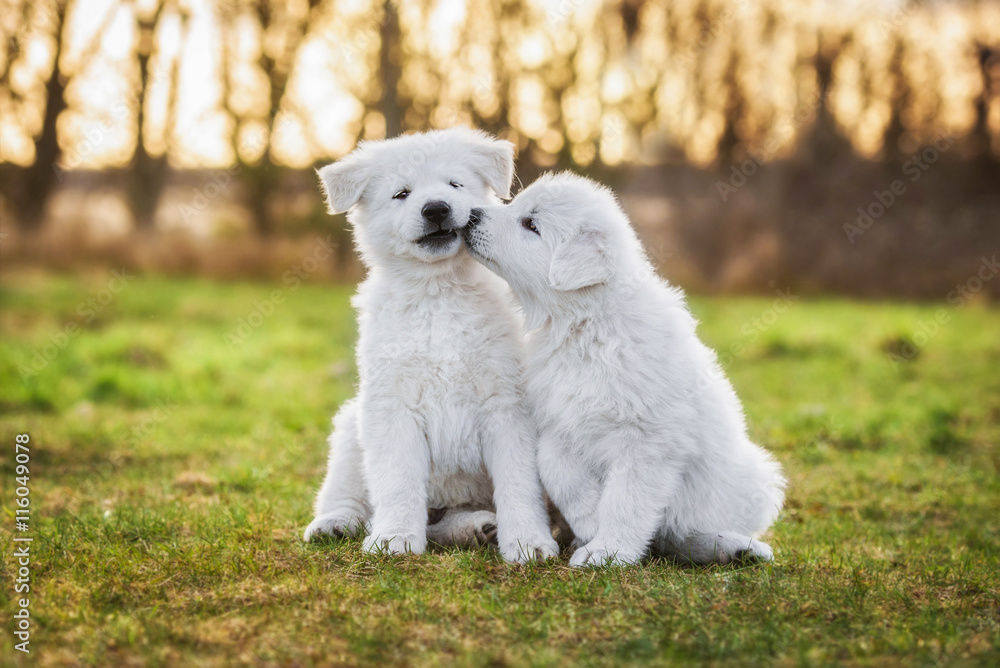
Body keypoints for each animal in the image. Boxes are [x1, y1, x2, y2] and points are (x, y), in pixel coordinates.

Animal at [300, 126, 560, 564]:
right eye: (401, 193)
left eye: (455, 184)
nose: (436, 209)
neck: (438, 292)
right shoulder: (393, 406)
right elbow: (398, 483)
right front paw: (394, 537)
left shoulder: (506, 406)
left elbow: (519, 484)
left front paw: (527, 541)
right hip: (351, 430)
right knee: (348, 494)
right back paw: (334, 523)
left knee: (444, 523)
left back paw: (477, 527)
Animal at [462, 174, 788, 568]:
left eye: (531, 225)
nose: (472, 215)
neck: (585, 326)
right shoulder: (559, 420)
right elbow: (557, 468)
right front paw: (590, 521)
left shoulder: (647, 437)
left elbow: (625, 500)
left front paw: (606, 551)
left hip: (754, 479)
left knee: (683, 533)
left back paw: (735, 546)